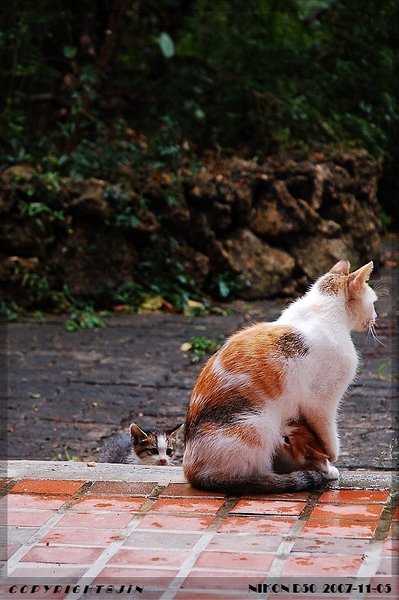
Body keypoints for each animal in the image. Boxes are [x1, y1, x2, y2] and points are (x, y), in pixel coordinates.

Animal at [184, 260, 378, 494]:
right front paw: (328, 464)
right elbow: (329, 439)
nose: (376, 318)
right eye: (373, 302)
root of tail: (190, 471)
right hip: (261, 425)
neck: (321, 311)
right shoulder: (322, 401)